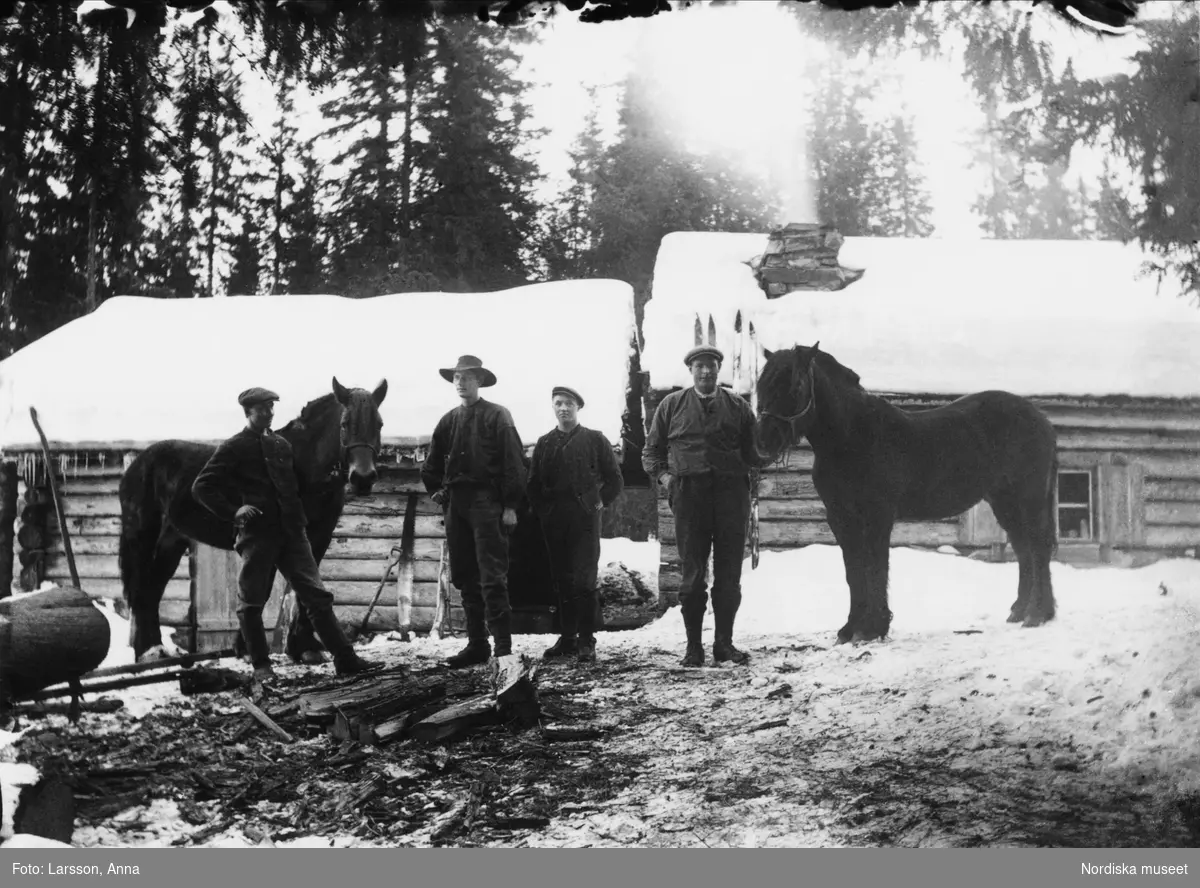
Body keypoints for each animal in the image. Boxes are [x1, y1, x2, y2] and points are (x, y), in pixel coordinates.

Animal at [119, 379, 386, 662]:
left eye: (379, 424)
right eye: (344, 424)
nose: (363, 478)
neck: (303, 463)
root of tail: (137, 463)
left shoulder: (318, 536)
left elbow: (305, 586)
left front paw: (303, 647)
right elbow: (269, 589)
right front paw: (253, 648)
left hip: (171, 541)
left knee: (151, 590)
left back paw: (155, 650)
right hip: (142, 538)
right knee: (140, 591)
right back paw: (147, 652)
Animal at [753, 343, 1056, 643]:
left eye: (796, 386)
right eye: (762, 385)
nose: (764, 442)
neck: (852, 437)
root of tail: (1041, 419)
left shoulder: (877, 515)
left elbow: (876, 567)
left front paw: (871, 628)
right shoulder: (840, 517)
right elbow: (854, 571)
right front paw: (849, 629)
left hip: (1028, 499)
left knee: (1037, 547)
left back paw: (1037, 615)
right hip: (1004, 502)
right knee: (1023, 548)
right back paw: (1020, 611)